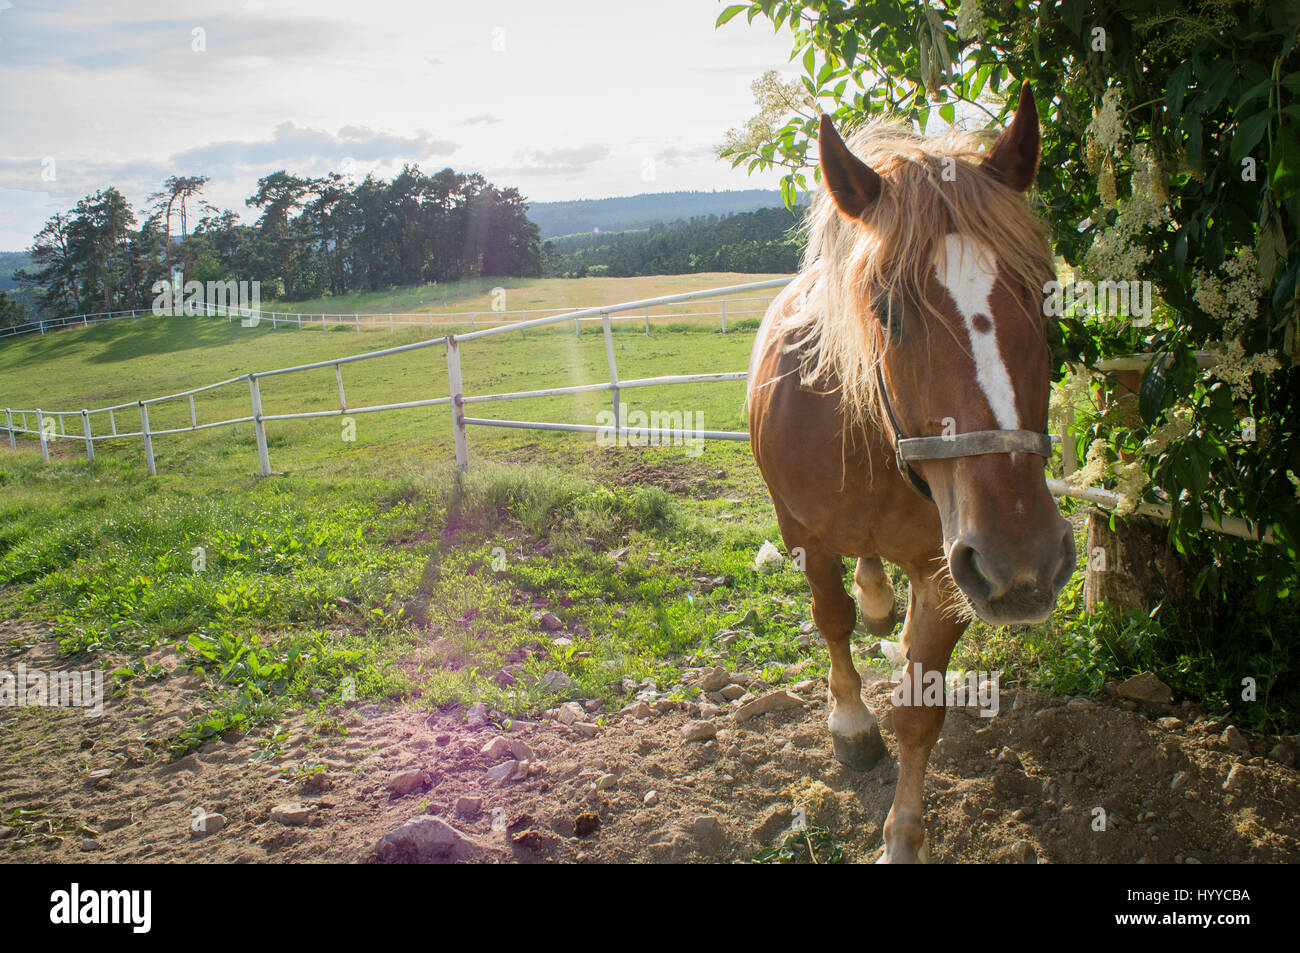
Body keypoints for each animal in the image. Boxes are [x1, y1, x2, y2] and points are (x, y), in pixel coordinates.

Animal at [747, 84, 1075, 863]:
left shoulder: (948, 570)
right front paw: (851, 725)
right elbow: (830, 620)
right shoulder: (803, 535)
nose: (1025, 558)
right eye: (887, 310)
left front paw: (902, 839)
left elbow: (921, 710)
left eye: (1045, 294)